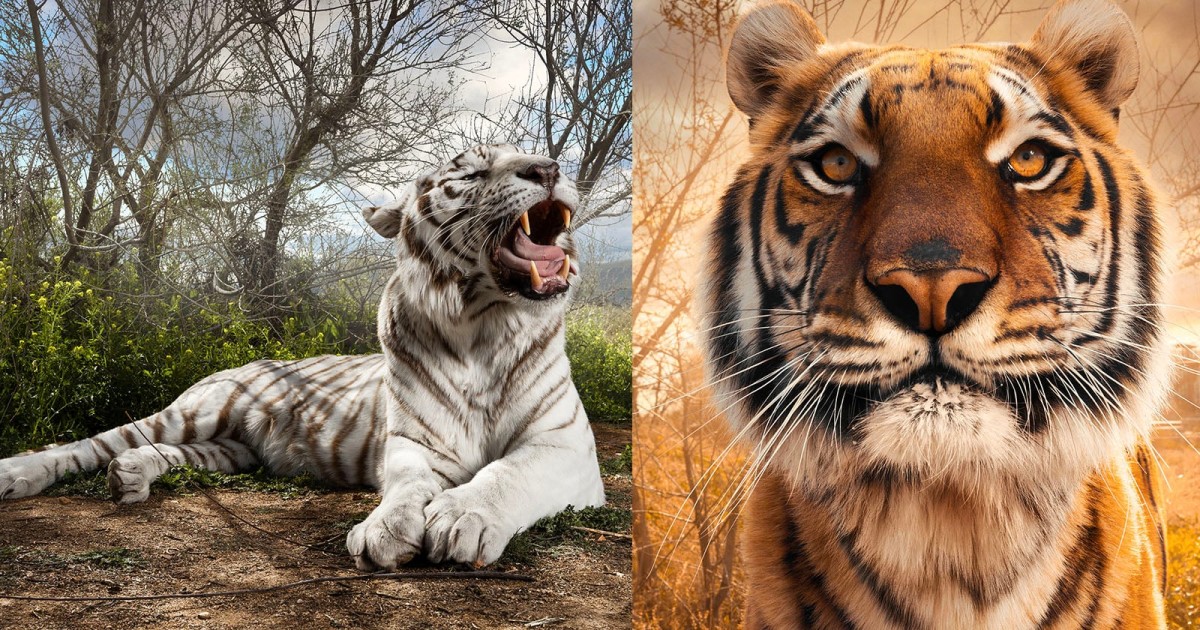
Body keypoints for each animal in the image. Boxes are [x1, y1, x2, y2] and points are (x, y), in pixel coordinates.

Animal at [0, 143, 606, 571]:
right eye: (473, 175)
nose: (549, 169)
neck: (485, 324)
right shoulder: (415, 444)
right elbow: (408, 486)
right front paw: (385, 528)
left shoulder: (562, 445)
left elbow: (506, 472)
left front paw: (461, 516)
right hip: (194, 412)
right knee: (91, 443)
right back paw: (18, 474)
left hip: (232, 450)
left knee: (160, 454)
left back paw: (129, 478)